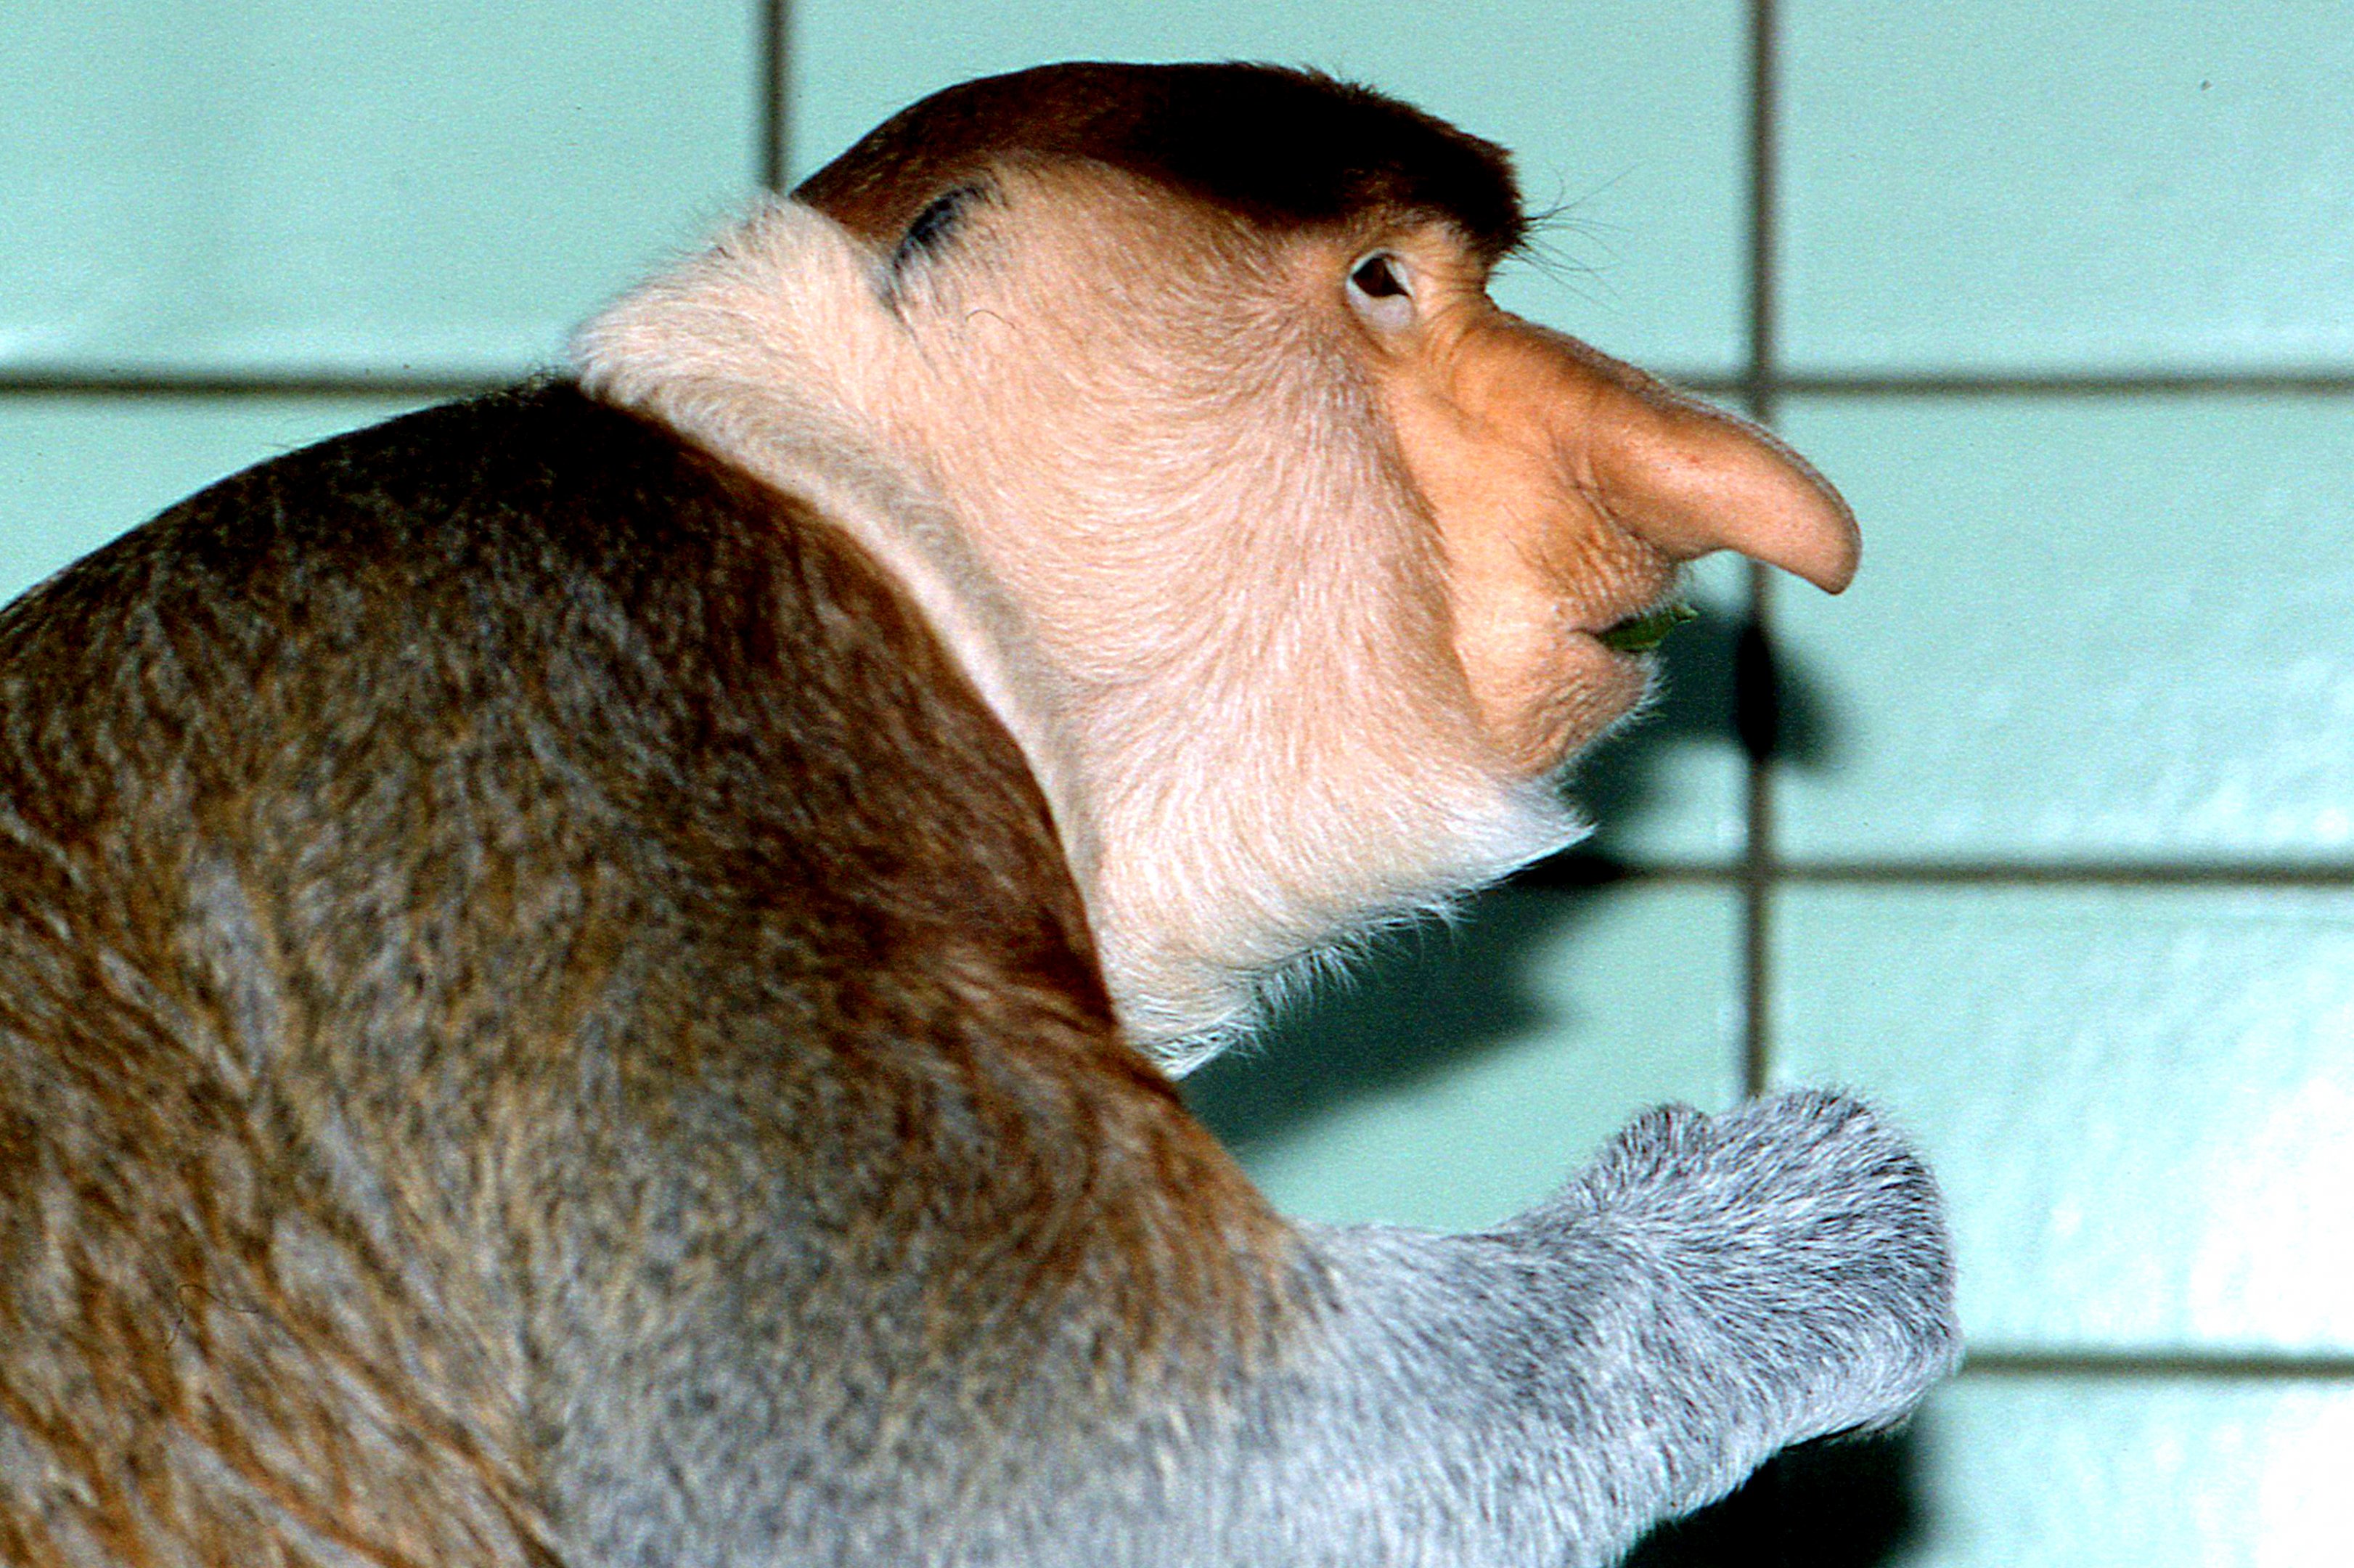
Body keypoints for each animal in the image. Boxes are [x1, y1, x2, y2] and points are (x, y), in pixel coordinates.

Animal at [0, 62, 1956, 1568]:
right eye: (1383, 283)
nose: (1693, 482)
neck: (849, 509)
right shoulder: (669, 744)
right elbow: (1067, 1474)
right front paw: (1789, 1232)